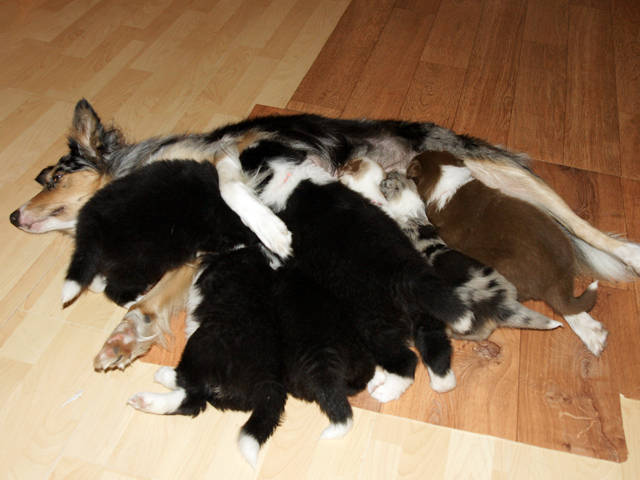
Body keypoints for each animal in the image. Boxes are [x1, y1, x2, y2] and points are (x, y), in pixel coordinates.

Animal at [10, 99, 640, 280]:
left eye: (55, 176)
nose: (14, 217)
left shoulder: (259, 150)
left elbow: (228, 182)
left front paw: (272, 229)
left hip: (507, 172)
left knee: (587, 228)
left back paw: (629, 252)